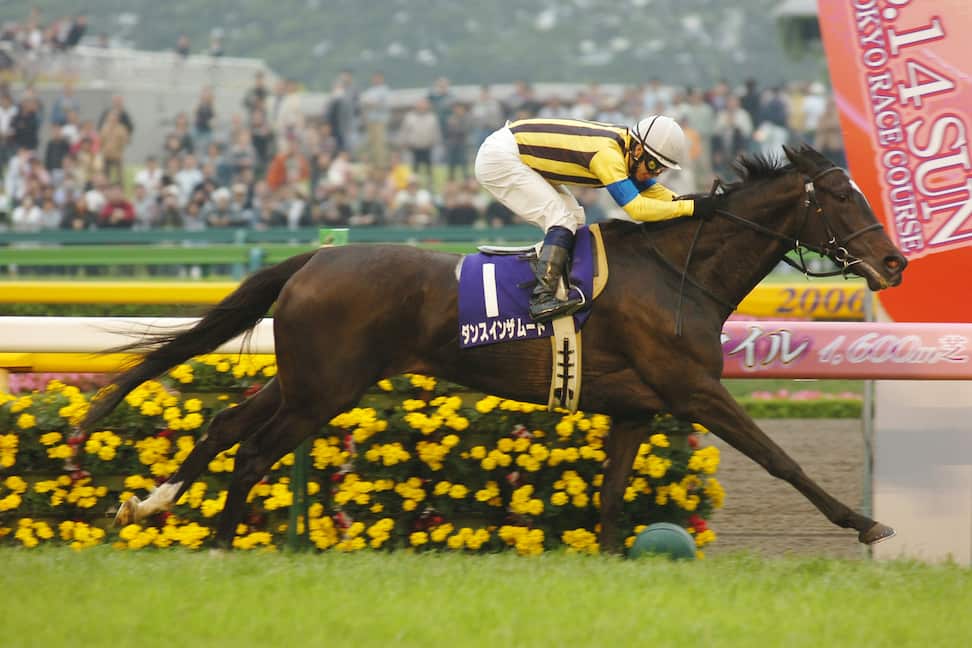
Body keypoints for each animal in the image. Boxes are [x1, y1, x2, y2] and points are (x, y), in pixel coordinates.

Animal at [82, 144, 908, 552]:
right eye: (842, 196)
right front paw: (865, 523)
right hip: (325, 391)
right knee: (253, 452)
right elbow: (782, 460)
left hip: (304, 381)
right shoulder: (694, 390)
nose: (895, 262)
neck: (680, 271)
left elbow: (612, 494)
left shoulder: (636, 409)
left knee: (228, 427)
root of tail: (314, 260)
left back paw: (154, 502)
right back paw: (224, 542)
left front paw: (612, 559)